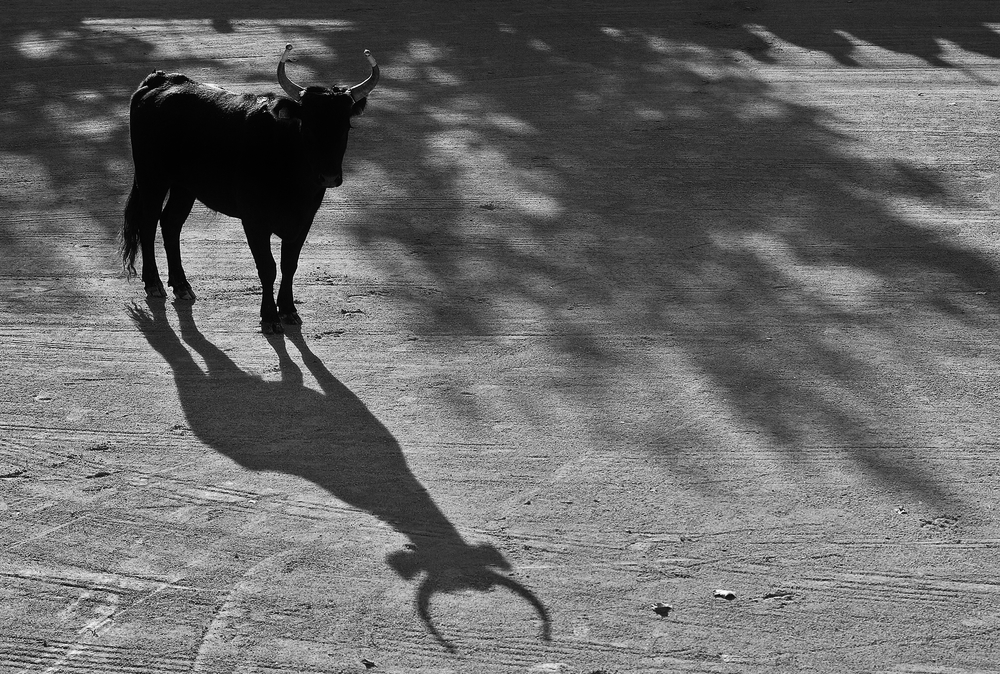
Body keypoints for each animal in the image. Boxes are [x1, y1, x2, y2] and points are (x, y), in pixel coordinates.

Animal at [122, 44, 378, 334]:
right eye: (308, 125)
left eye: (346, 126)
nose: (329, 176)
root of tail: (159, 80)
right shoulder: (254, 221)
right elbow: (268, 267)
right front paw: (269, 317)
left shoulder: (304, 220)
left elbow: (289, 264)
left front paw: (288, 310)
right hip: (152, 178)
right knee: (148, 223)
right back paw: (153, 283)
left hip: (183, 187)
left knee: (170, 223)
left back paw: (181, 285)